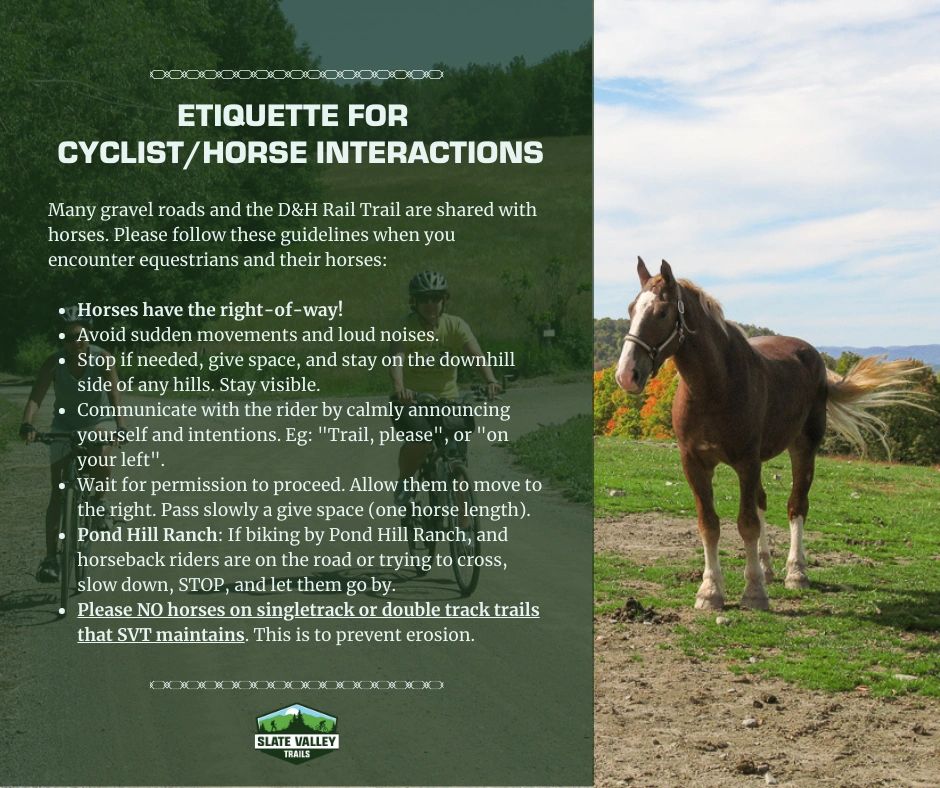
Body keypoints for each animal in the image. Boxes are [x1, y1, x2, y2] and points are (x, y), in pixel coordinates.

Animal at [615, 257, 924, 610]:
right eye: (631, 309)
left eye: (663, 312)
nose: (626, 374)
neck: (715, 387)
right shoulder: (694, 462)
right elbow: (710, 524)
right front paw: (710, 591)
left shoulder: (747, 462)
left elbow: (747, 523)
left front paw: (754, 593)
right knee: (762, 502)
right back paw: (766, 568)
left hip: (803, 447)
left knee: (796, 506)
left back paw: (796, 572)